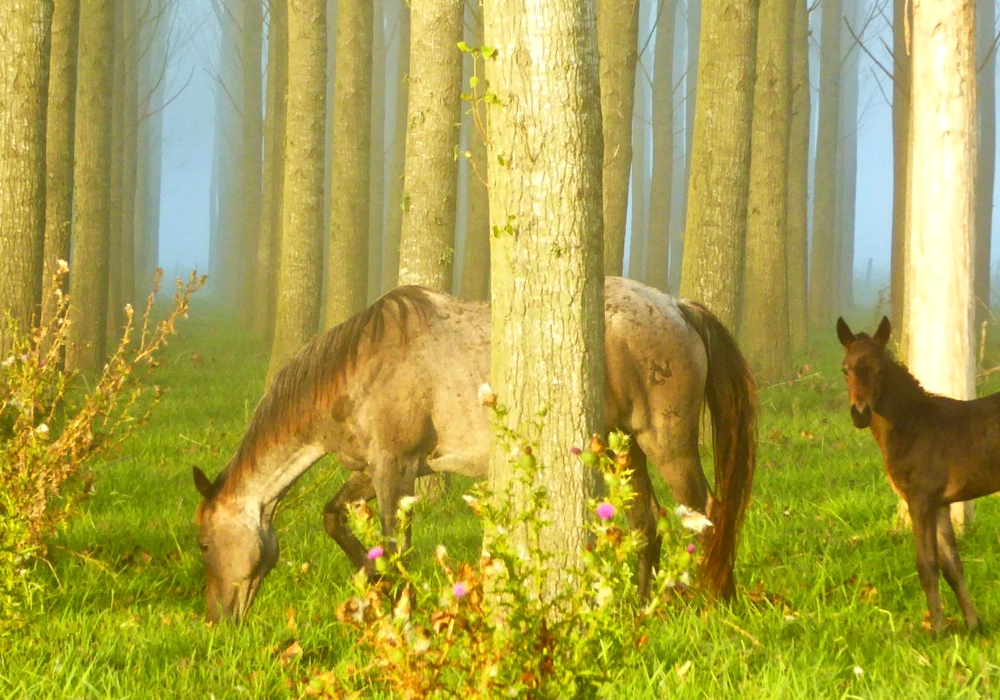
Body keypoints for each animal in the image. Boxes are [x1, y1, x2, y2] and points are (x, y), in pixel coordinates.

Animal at [193, 276, 756, 620]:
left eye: (202, 545)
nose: (217, 621)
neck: (359, 367)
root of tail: (678, 307)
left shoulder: (394, 469)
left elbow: (396, 545)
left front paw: (400, 604)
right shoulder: (378, 468)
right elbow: (335, 518)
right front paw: (374, 586)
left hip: (666, 444)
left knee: (702, 512)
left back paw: (702, 601)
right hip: (625, 448)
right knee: (646, 522)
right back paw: (638, 608)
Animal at [836, 314, 1000, 632]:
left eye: (880, 370)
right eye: (845, 369)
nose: (860, 414)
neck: (912, 425)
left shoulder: (920, 500)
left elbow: (927, 565)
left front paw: (937, 628)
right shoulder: (941, 504)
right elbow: (952, 565)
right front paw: (973, 624)